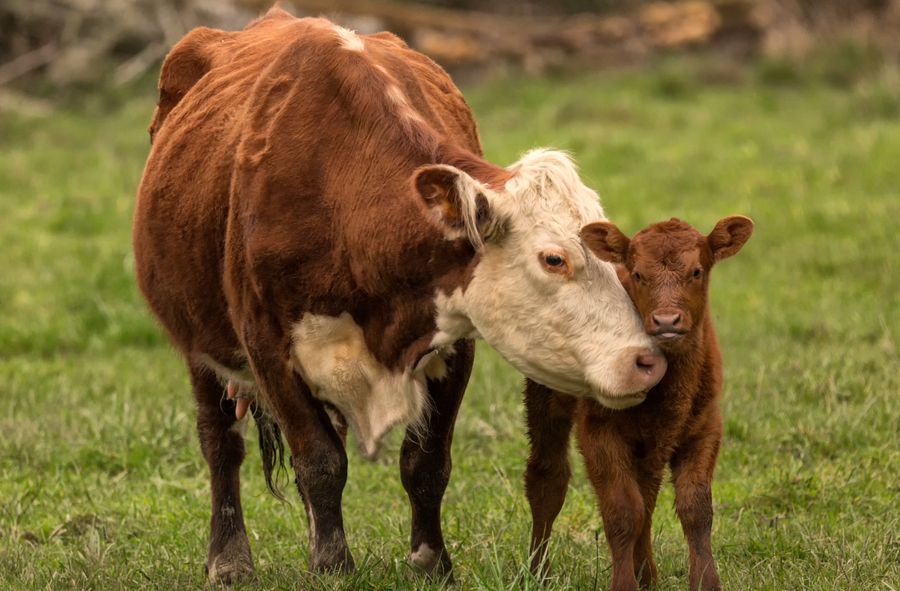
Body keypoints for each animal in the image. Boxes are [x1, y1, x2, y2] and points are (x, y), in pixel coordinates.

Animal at [134, 8, 668, 584]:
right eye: (554, 258)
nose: (646, 361)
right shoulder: (268, 348)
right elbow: (320, 461)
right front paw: (333, 566)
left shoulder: (454, 342)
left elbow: (424, 462)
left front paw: (431, 561)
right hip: (200, 345)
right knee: (221, 443)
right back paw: (230, 560)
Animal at [524, 217, 756, 591]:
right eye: (637, 274)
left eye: (696, 271)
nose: (666, 321)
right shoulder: (599, 430)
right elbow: (622, 511)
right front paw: (624, 582)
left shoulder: (705, 427)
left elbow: (695, 509)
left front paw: (704, 581)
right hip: (546, 395)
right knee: (548, 478)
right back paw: (538, 573)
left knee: (646, 495)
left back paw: (647, 575)